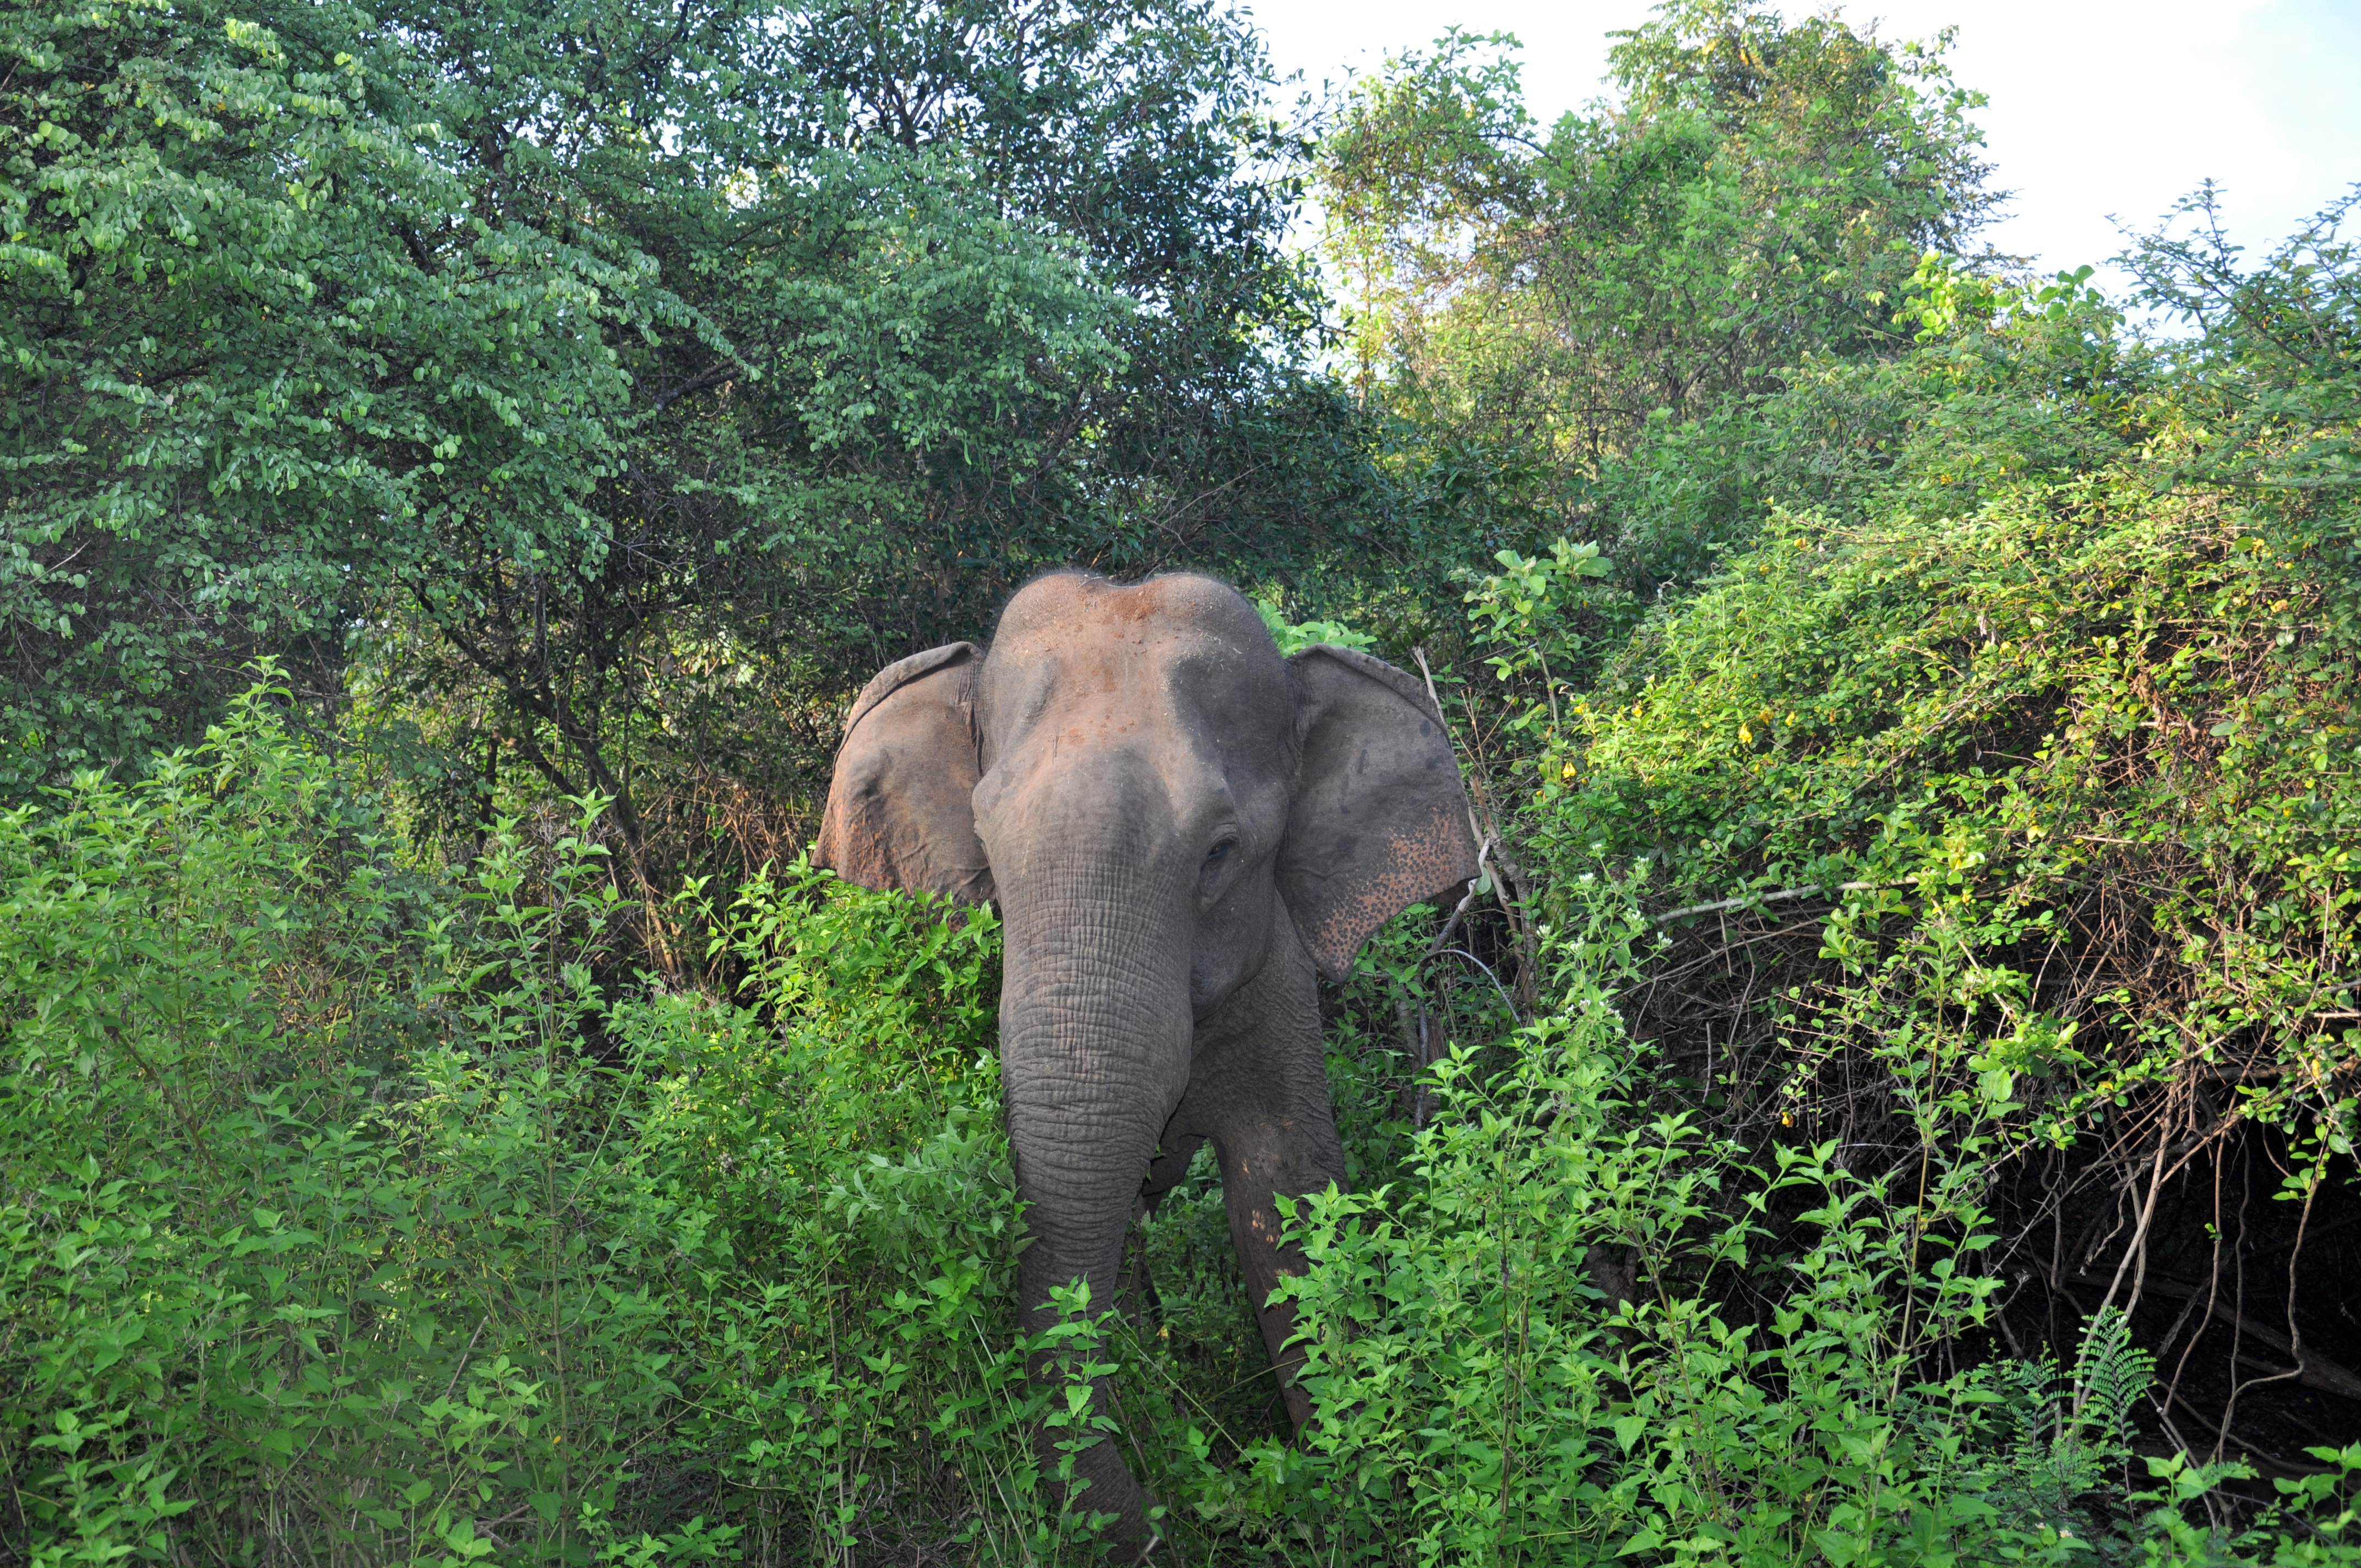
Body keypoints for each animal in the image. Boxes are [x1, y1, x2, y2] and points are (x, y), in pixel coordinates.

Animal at [814, 569, 1478, 1552]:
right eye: (987, 845)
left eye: (1221, 853)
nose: (1173, 1525)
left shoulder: (1277, 988)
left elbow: (1281, 1200)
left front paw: (1343, 1488)